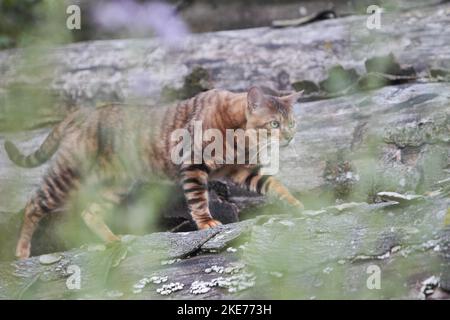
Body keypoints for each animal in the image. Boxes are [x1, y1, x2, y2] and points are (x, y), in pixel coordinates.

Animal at [5, 86, 304, 258]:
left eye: (292, 123)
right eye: (274, 124)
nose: (290, 137)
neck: (240, 137)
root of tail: (84, 112)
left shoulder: (241, 172)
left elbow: (275, 186)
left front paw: (296, 204)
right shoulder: (193, 164)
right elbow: (198, 200)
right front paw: (207, 223)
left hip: (115, 184)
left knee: (89, 212)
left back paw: (114, 240)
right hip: (68, 175)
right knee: (33, 205)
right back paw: (21, 251)